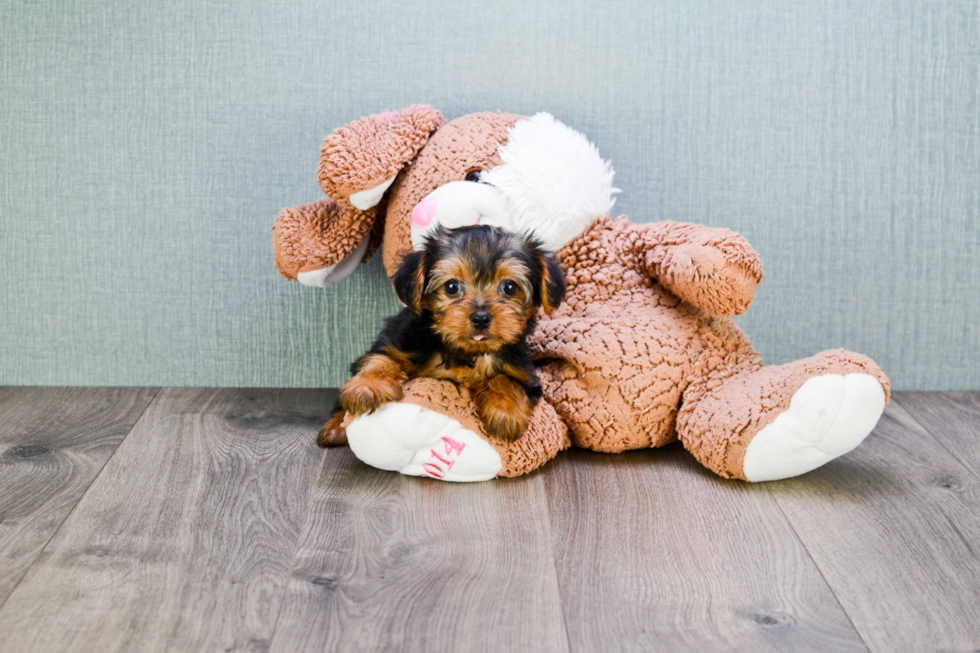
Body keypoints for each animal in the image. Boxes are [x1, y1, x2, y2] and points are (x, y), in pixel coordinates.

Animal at [320, 225, 568, 448]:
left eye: (509, 287)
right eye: (451, 286)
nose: (480, 318)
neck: (465, 352)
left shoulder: (525, 373)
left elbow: (505, 379)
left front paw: (505, 412)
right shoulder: (398, 342)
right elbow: (380, 358)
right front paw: (368, 386)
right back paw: (336, 427)